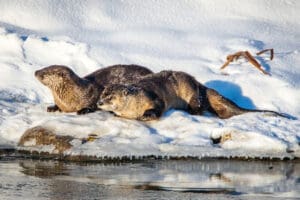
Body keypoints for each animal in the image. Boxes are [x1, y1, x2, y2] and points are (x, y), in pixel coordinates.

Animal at [97, 70, 288, 120]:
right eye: (102, 94)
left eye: (110, 96)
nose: (99, 103)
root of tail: (200, 85)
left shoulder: (153, 97)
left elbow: (159, 106)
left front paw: (147, 116)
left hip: (192, 93)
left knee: (199, 106)